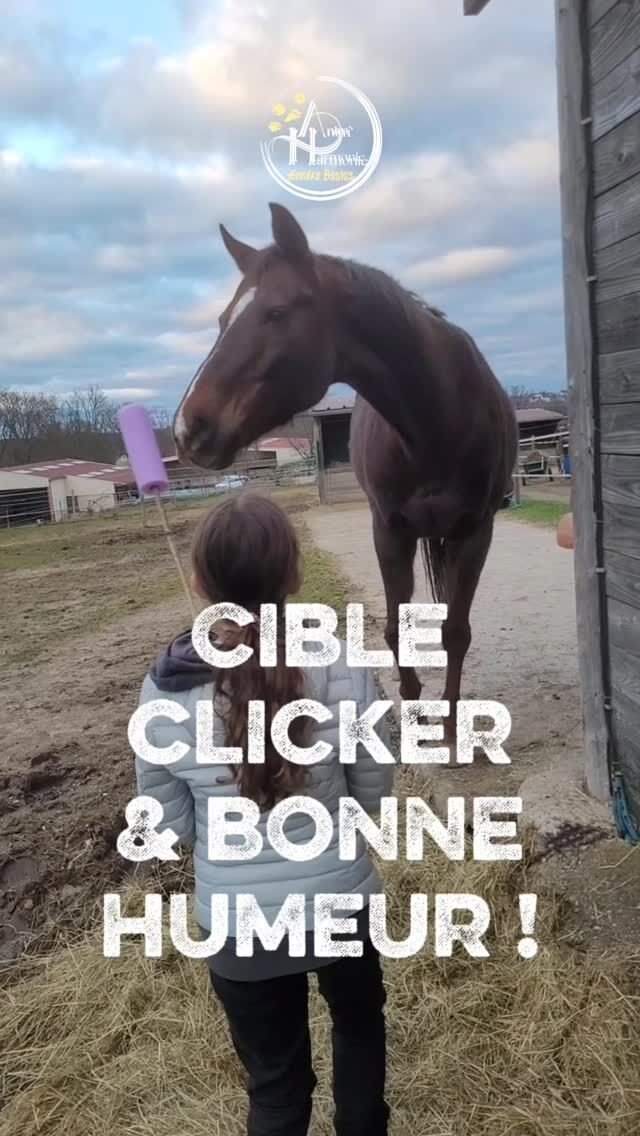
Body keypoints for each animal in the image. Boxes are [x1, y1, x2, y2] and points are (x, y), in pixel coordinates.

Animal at [173, 202, 518, 739]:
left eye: (277, 312)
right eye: (223, 318)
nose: (189, 427)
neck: (438, 416)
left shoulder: (475, 531)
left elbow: (455, 631)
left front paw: (450, 724)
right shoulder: (389, 530)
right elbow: (397, 627)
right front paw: (415, 714)